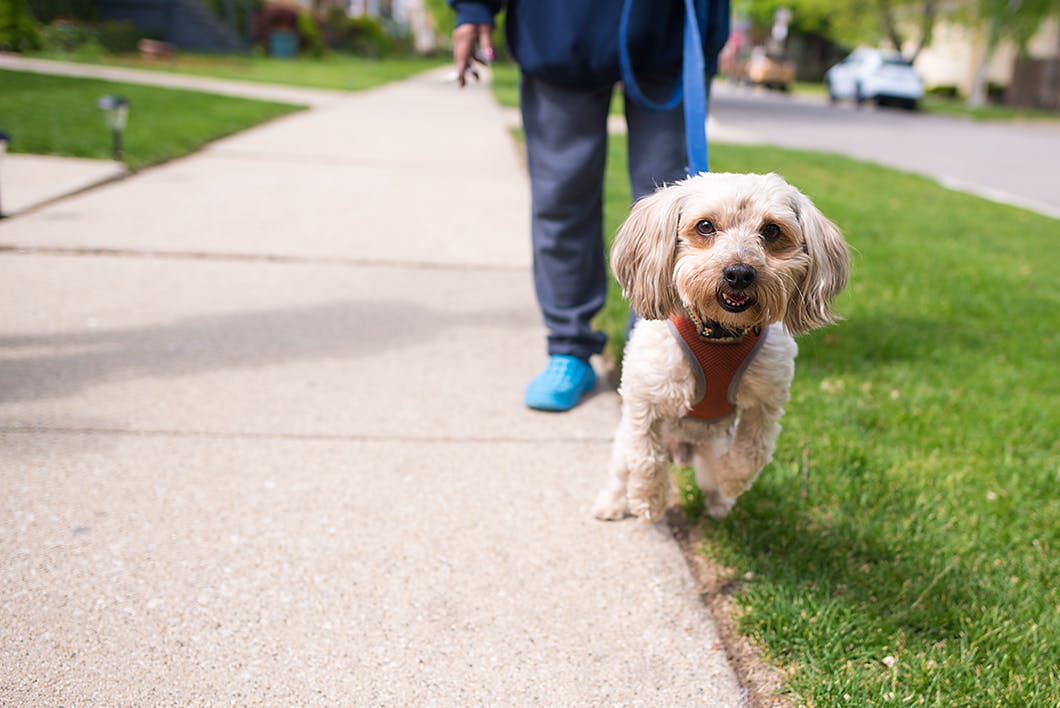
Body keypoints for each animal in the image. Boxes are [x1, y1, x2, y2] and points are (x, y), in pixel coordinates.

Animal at [593, 173, 847, 523]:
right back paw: (613, 503)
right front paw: (649, 500)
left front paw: (731, 479)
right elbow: (646, 458)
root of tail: (683, 451)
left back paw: (719, 502)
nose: (739, 273)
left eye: (771, 230)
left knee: (711, 476)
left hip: (712, 447)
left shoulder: (765, 402)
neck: (719, 334)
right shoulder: (645, 397)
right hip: (622, 443)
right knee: (622, 471)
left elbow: (752, 452)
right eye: (705, 226)